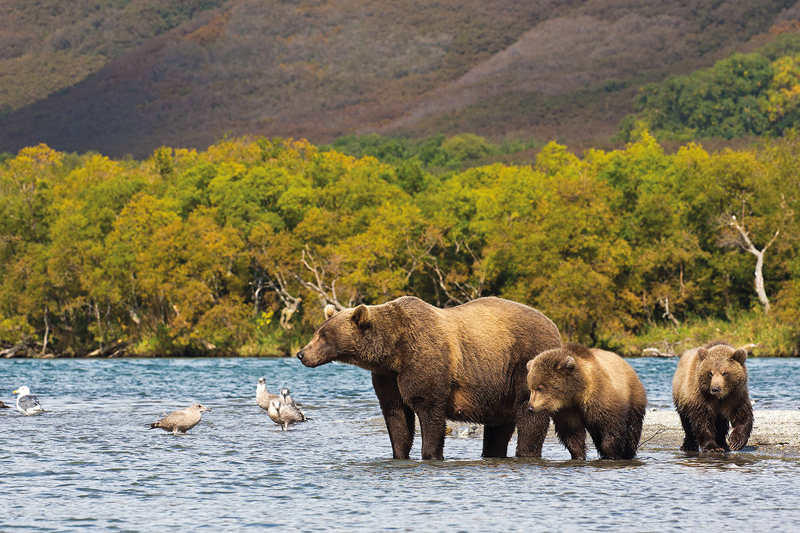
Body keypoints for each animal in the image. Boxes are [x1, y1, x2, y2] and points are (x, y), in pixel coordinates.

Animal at [296, 298, 564, 460]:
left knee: (530, 416)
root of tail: (553, 326)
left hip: (523, 363)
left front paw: (431, 454)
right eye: (318, 332)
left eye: (324, 335)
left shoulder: (426, 362)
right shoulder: (388, 377)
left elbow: (429, 411)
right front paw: (399, 454)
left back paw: (526, 452)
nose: (301, 354)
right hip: (499, 388)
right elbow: (396, 416)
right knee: (498, 427)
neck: (393, 351)